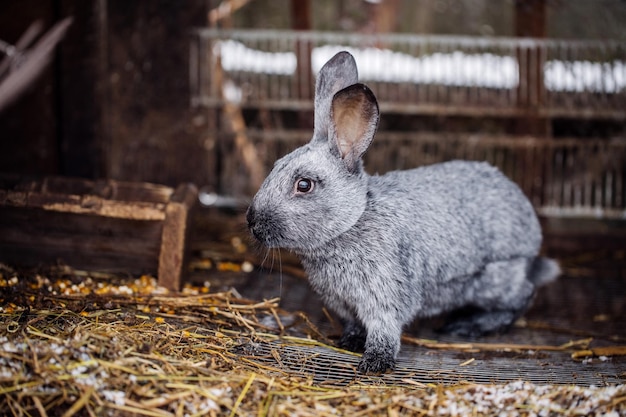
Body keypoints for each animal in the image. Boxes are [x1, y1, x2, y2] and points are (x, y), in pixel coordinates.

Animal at [246, 50, 560, 372]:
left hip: (495, 276)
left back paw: (469, 325)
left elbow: (385, 327)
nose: (252, 221)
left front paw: (375, 362)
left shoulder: (385, 293)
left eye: (304, 185)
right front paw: (349, 341)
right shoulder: (345, 304)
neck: (353, 221)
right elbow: (354, 324)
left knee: (522, 296)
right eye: (275, 166)